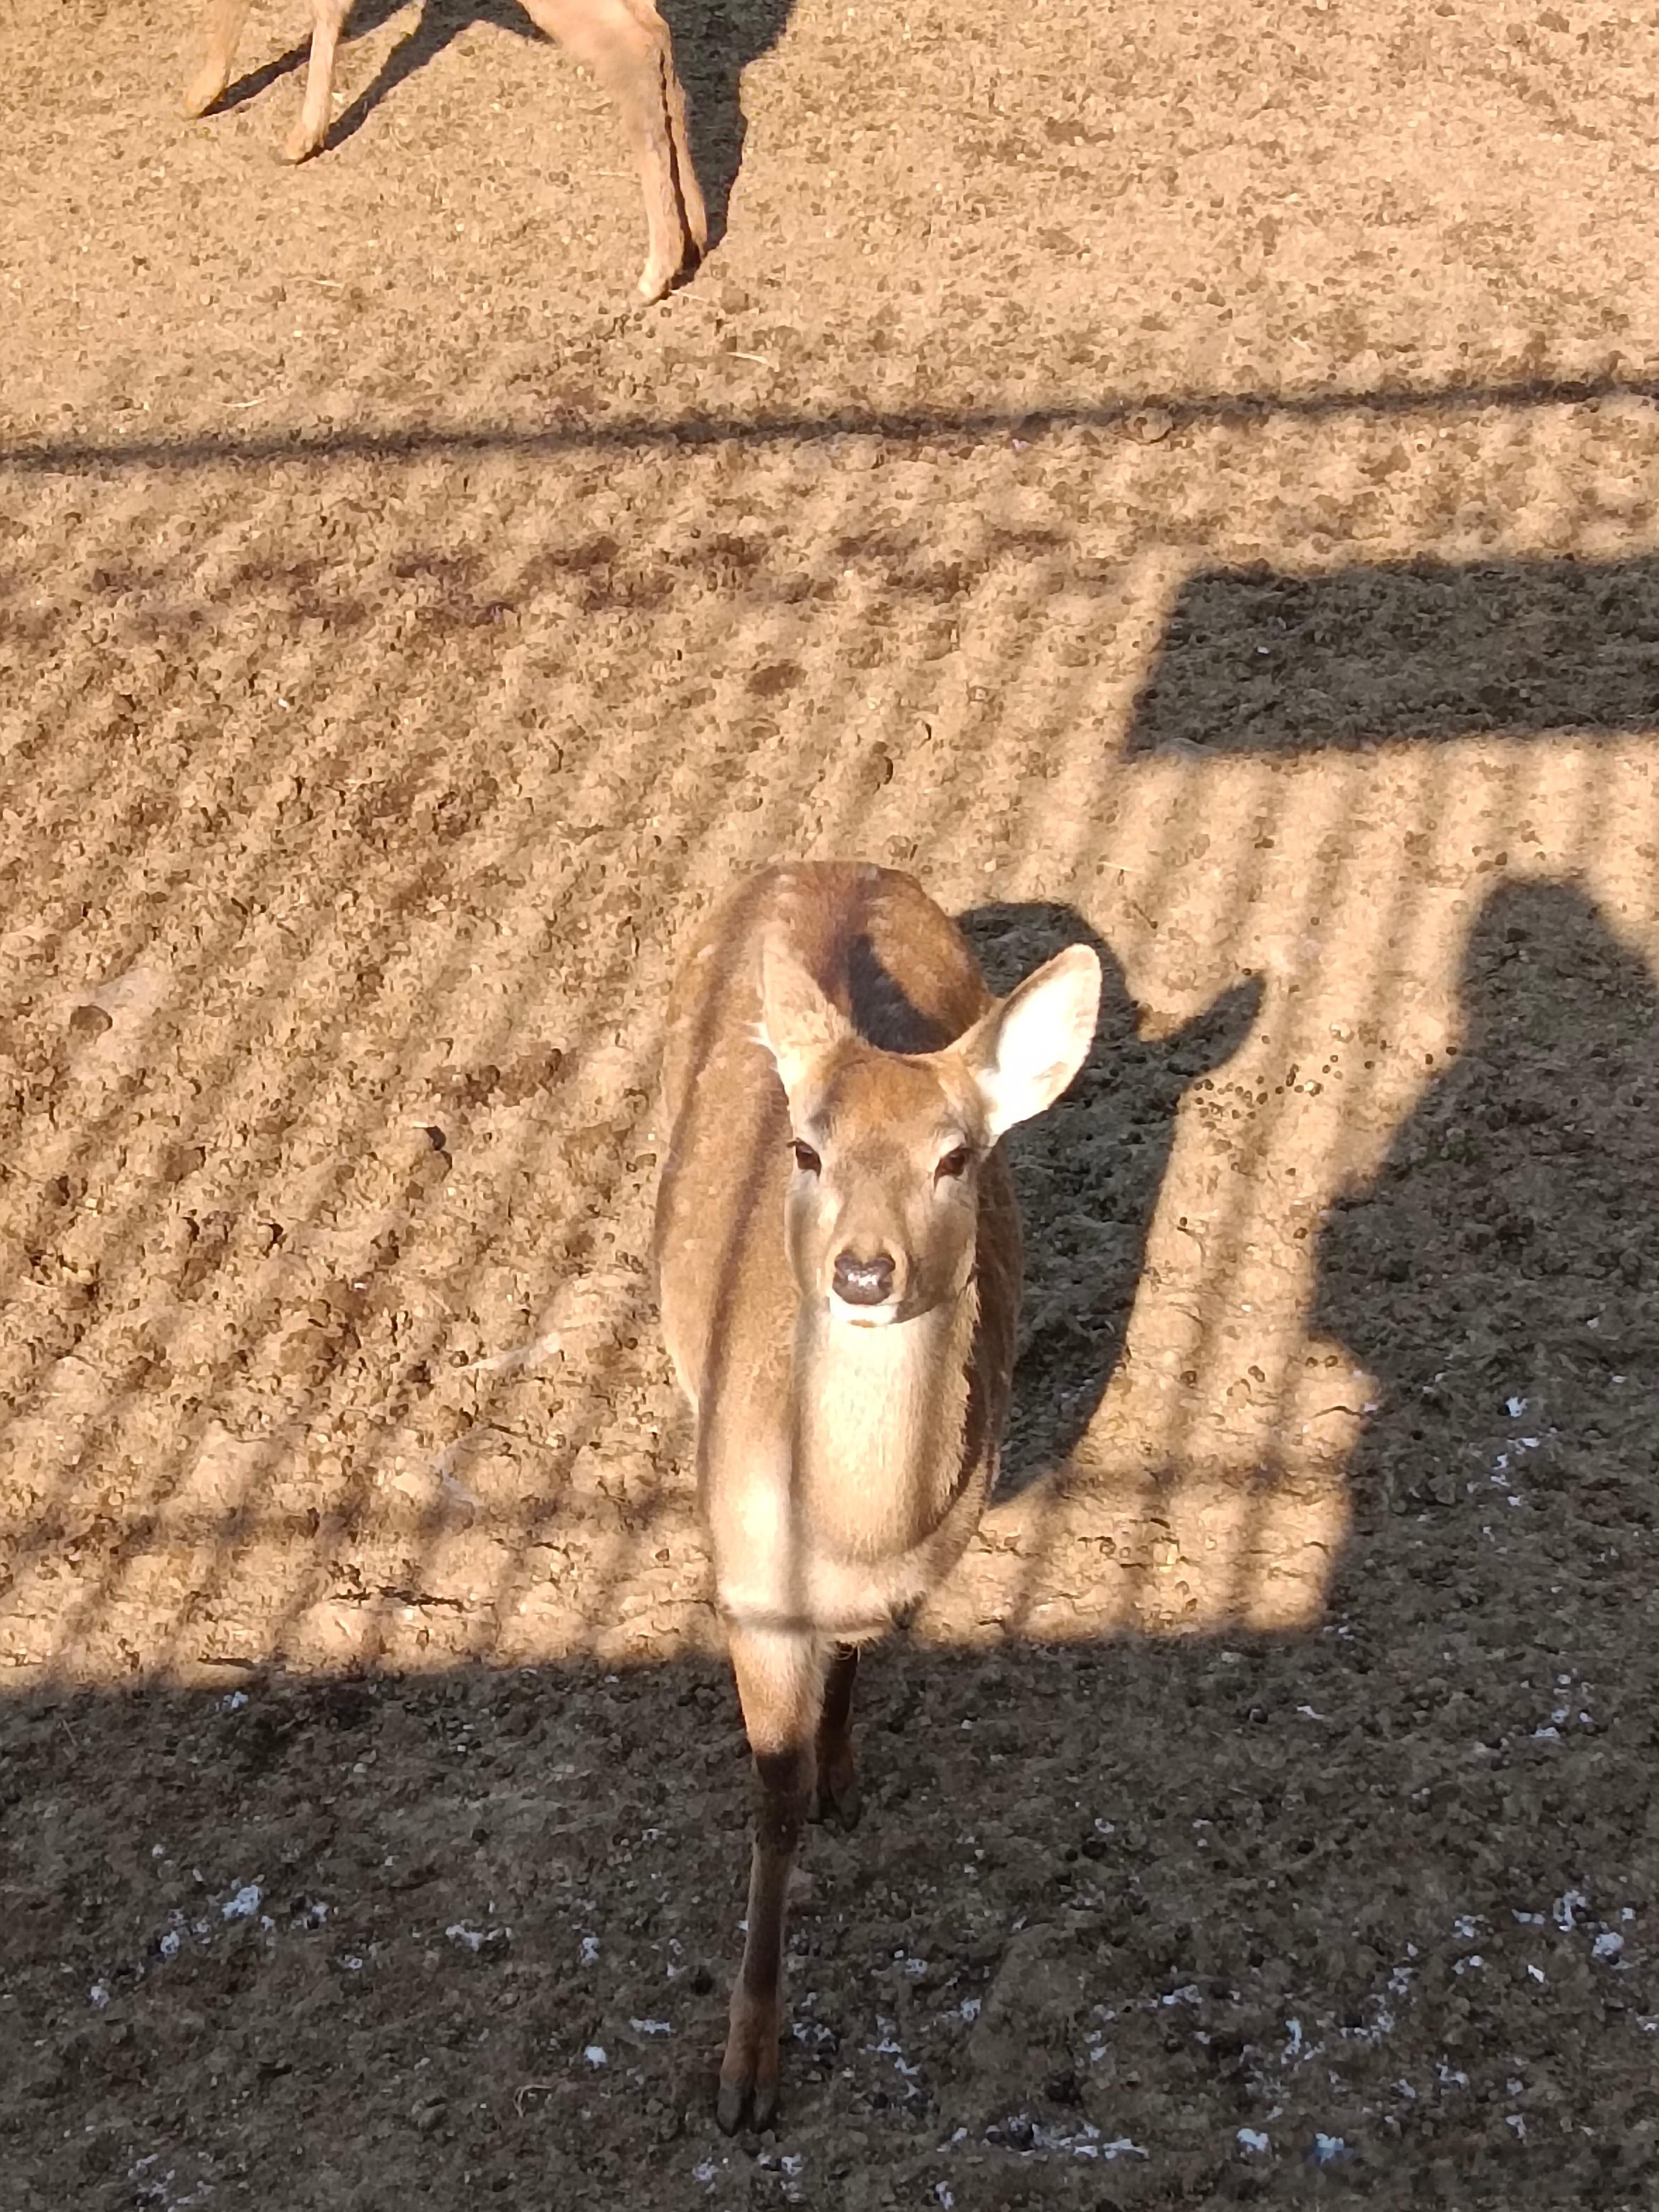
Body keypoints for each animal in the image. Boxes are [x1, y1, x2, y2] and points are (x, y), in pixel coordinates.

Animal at [181, 0, 707, 302]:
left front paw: (198, 96)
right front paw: (305, 136)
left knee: (631, 48)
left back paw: (655, 273)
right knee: (657, 33)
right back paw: (696, 234)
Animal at [654, 861, 1102, 2131]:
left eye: (955, 1157)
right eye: (806, 1152)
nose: (863, 1271)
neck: (854, 1531)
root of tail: (825, 861)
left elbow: (855, 1660)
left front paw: (848, 1775)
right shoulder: (749, 1588)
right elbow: (771, 1797)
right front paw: (746, 2078)